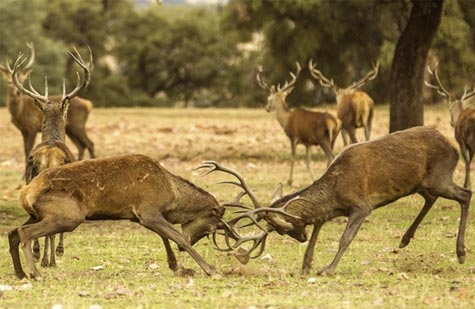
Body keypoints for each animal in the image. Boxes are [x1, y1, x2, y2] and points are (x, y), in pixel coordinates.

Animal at [6, 153, 227, 280]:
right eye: (214, 223)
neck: (171, 194)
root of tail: (25, 192)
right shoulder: (148, 211)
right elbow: (178, 237)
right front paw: (211, 270)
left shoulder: (141, 216)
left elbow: (165, 237)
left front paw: (179, 268)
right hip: (68, 216)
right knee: (24, 232)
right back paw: (35, 274)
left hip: (38, 215)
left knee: (12, 232)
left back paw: (20, 273)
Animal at [7, 47, 92, 268]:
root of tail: (47, 157)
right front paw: (58, 251)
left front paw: (39, 253)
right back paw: (50, 259)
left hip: (31, 179)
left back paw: (39, 254)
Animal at [198, 126, 472, 276]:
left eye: (281, 230)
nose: (300, 237)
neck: (335, 191)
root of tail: (453, 147)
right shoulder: (333, 211)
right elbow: (317, 230)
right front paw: (306, 265)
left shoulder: (362, 205)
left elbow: (345, 238)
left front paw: (327, 269)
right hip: (423, 183)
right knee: (432, 198)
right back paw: (405, 239)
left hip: (440, 177)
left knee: (466, 194)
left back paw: (460, 252)